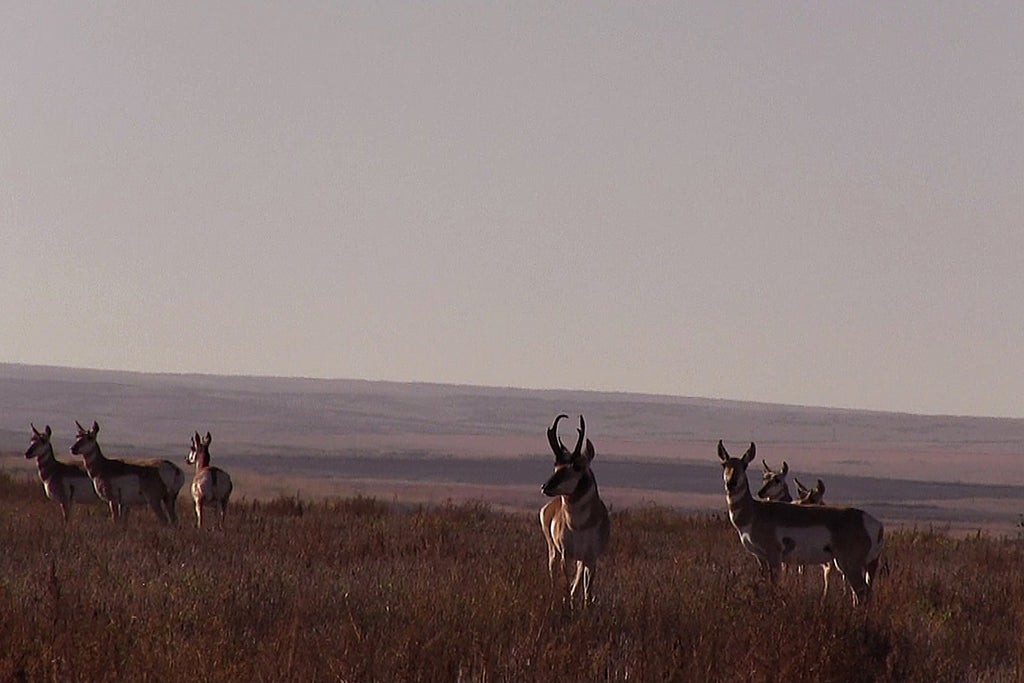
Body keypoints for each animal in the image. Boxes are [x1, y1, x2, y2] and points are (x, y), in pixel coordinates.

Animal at [540, 413, 610, 606]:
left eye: (577, 466)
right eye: (555, 466)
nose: (545, 486)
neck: (579, 525)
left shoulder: (591, 558)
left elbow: (587, 589)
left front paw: (586, 606)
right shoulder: (566, 555)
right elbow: (565, 583)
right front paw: (568, 604)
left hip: (581, 560)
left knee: (577, 580)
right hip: (553, 551)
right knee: (554, 576)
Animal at [720, 440, 880, 606]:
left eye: (744, 465)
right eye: (724, 464)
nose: (731, 483)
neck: (755, 511)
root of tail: (874, 524)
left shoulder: (774, 557)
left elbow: (774, 585)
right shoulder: (761, 558)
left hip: (849, 565)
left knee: (862, 592)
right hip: (859, 566)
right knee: (864, 592)